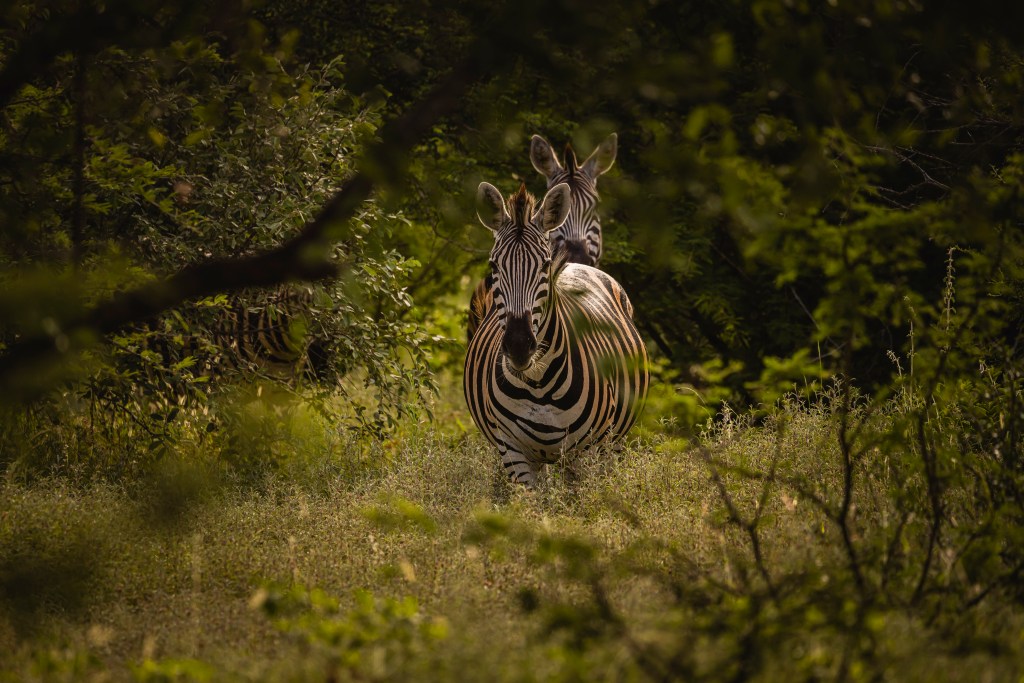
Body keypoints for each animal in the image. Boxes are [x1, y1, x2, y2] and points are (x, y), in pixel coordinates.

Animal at [464, 181, 649, 487]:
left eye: (545, 265)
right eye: (494, 266)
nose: (519, 346)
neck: (538, 384)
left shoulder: (586, 451)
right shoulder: (513, 452)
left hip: (613, 443)